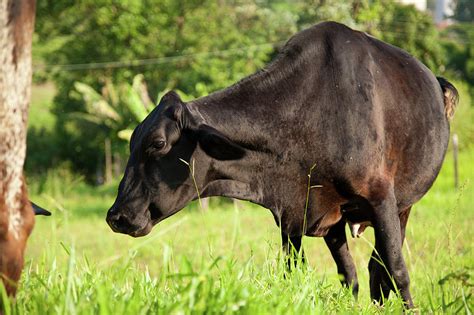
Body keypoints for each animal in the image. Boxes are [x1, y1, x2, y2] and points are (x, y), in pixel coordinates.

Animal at [106, 22, 456, 308]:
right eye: (132, 142)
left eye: (158, 143)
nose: (116, 216)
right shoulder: (292, 215)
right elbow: (300, 274)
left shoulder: (381, 197)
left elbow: (397, 270)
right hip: (338, 222)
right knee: (353, 275)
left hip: (403, 204)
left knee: (378, 268)